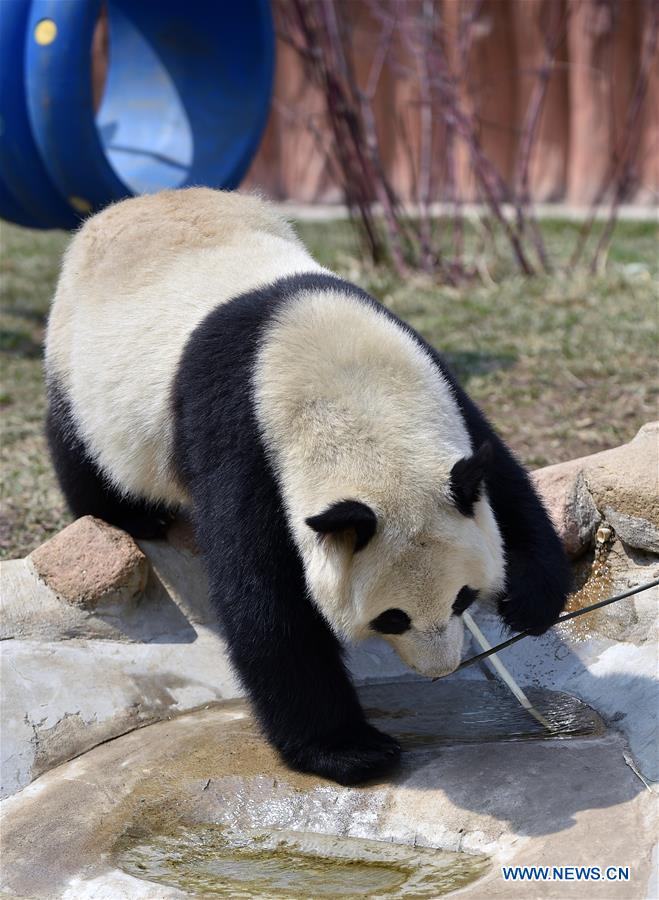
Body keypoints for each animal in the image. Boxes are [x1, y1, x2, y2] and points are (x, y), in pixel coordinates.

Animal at [45, 188, 571, 785]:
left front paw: (530, 602)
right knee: (81, 447)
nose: (441, 669)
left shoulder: (438, 382)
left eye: (462, 597)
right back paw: (132, 515)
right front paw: (349, 749)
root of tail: (133, 202)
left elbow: (503, 480)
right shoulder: (243, 440)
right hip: (82, 358)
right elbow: (266, 600)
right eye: (393, 617)